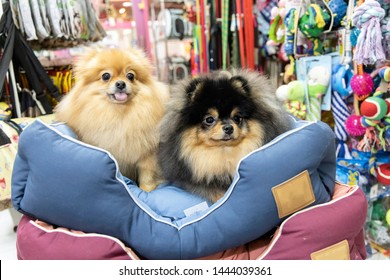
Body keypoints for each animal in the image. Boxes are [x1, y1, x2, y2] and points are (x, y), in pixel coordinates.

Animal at [54, 48, 168, 192]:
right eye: (106, 76)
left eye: (130, 76)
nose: (120, 83)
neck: (118, 114)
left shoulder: (147, 155)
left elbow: (147, 176)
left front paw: (147, 190)